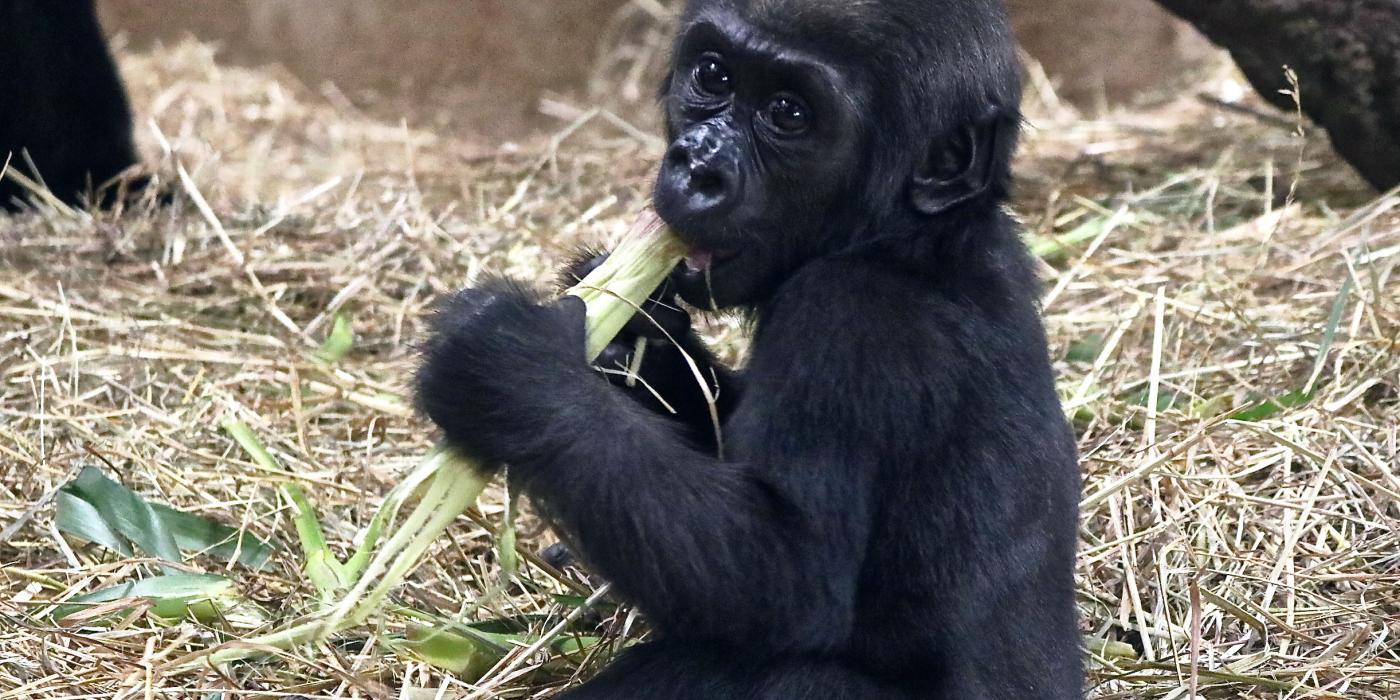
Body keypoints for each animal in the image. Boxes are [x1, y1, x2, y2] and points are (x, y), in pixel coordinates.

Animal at [414, 1, 1080, 700]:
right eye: (713, 75)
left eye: (788, 113)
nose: (697, 167)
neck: (910, 237)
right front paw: (637, 332)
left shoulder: (849, 319)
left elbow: (787, 576)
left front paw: (507, 367)